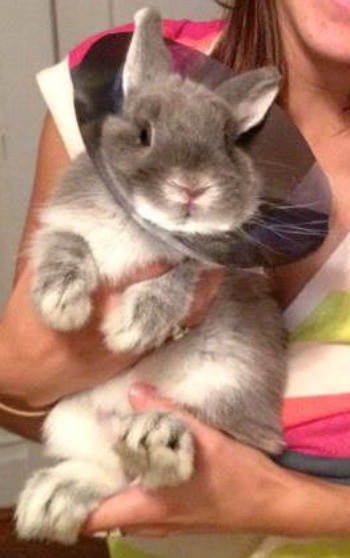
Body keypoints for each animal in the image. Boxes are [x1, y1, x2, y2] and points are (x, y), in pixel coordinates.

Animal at [15, 7, 286, 548]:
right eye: (144, 133)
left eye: (228, 142)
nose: (191, 187)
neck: (141, 225)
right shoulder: (62, 224)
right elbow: (68, 245)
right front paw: (62, 303)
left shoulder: (214, 268)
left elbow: (179, 276)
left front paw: (132, 328)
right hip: (71, 419)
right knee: (114, 474)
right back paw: (51, 501)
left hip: (228, 383)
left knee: (190, 451)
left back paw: (158, 438)